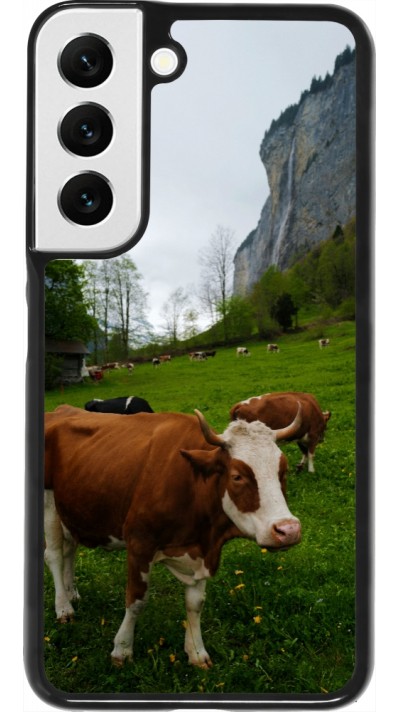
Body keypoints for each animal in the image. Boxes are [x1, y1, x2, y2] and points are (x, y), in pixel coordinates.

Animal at [44, 405, 301, 668]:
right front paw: (122, 649)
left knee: (70, 549)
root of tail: (61, 409)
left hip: (71, 509)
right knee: (54, 555)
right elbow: (136, 600)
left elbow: (195, 603)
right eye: (237, 476)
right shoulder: (139, 544)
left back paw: (71, 593)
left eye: (283, 471)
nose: (288, 530)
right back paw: (63, 607)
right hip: (50, 502)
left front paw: (196, 652)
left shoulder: (201, 551)